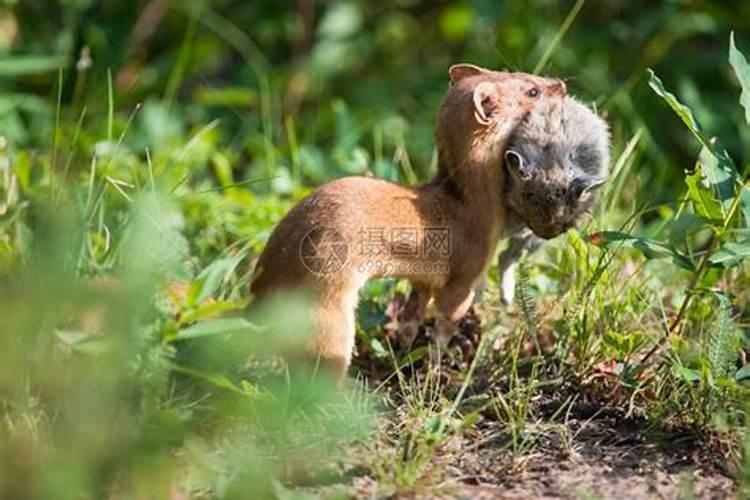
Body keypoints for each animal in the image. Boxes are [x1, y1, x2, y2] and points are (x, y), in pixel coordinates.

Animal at [250, 64, 568, 376]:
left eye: (513, 71)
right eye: (532, 90)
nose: (561, 84)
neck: (474, 207)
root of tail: (261, 293)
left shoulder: (422, 275)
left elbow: (412, 312)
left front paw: (402, 354)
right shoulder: (468, 269)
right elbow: (447, 317)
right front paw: (437, 367)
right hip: (328, 316)